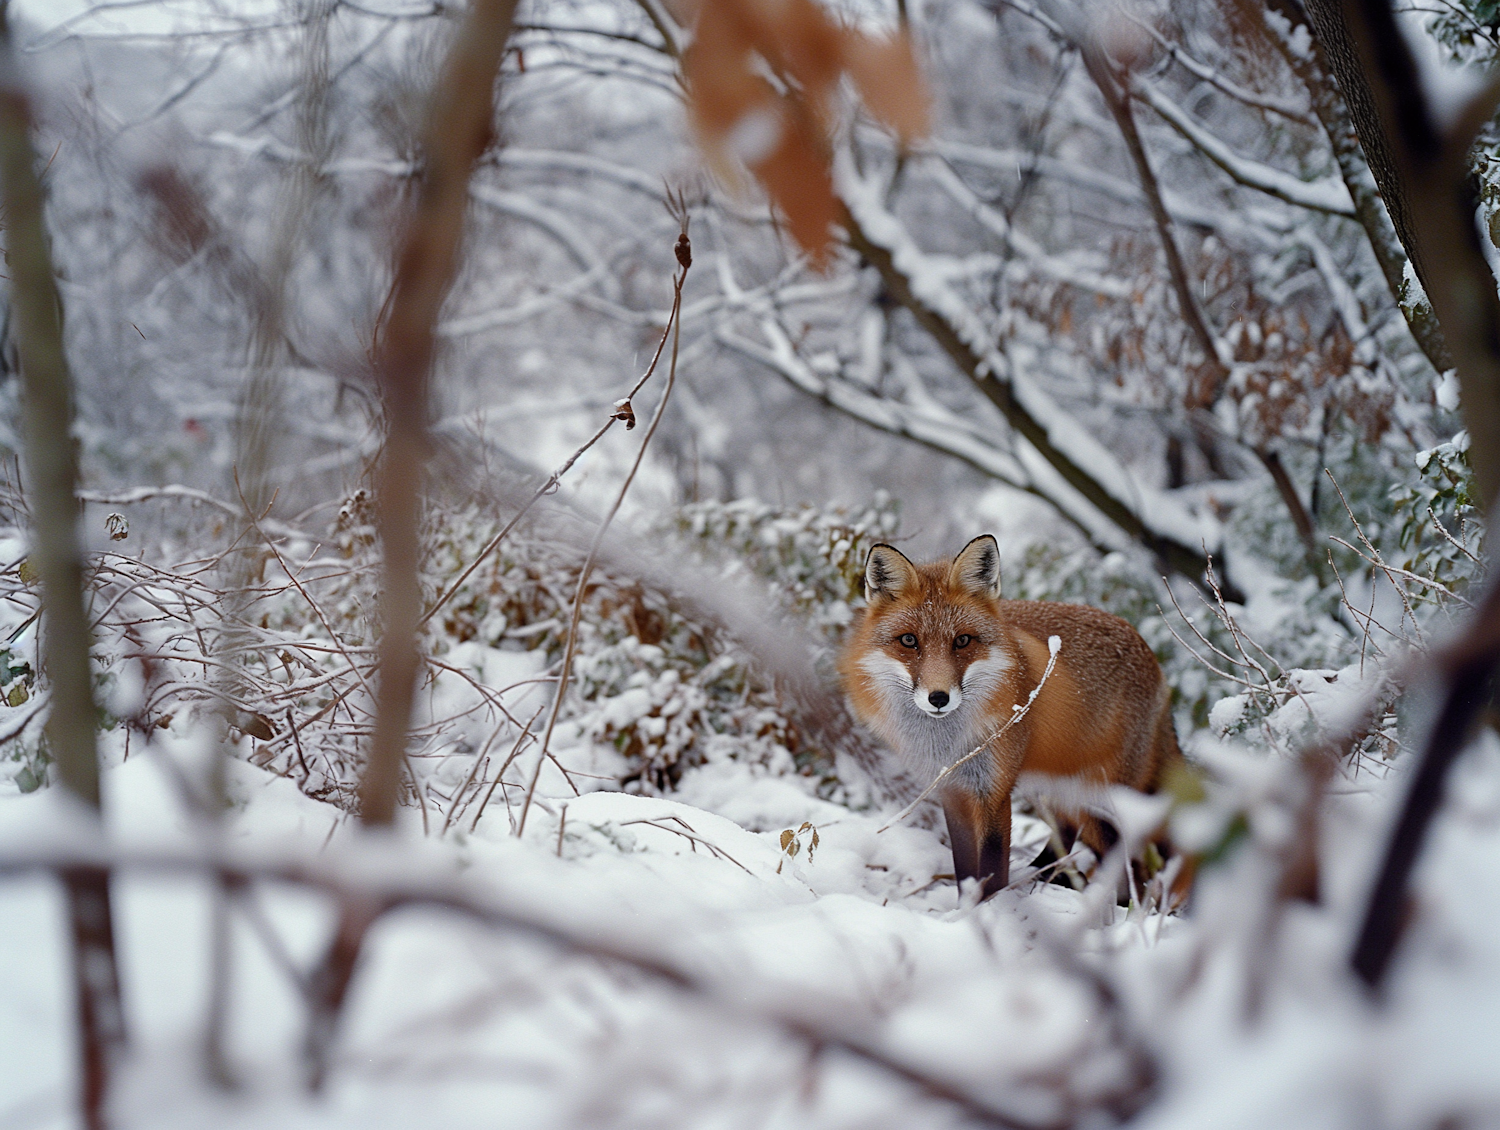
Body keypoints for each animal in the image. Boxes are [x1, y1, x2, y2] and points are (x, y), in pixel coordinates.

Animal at [840, 534, 1176, 900]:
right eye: (908, 640)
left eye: (962, 640)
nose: (938, 698)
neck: (950, 744)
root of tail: (1153, 657)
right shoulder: (953, 791)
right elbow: (965, 869)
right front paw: (967, 907)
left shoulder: (994, 791)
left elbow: (991, 866)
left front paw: (989, 908)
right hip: (1059, 790)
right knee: (1069, 832)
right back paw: (1041, 877)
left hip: (1101, 797)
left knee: (1132, 865)